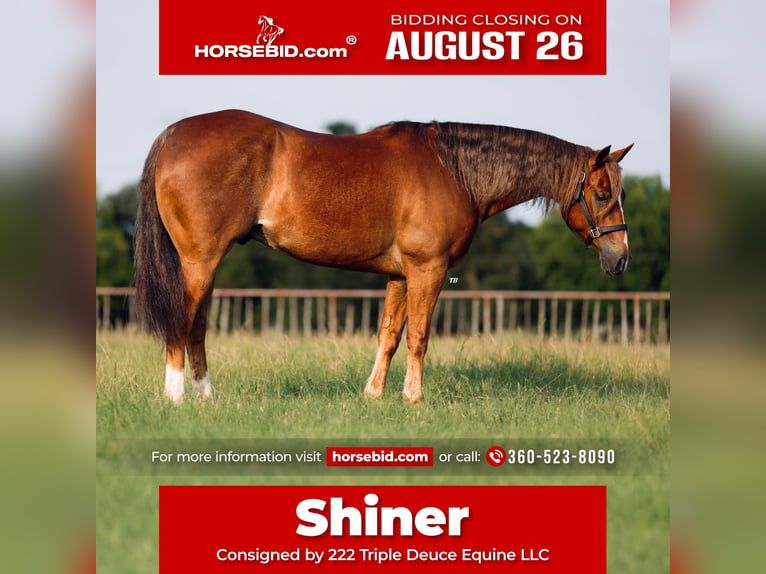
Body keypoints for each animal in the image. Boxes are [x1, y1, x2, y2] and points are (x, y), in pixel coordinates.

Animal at [134, 109, 636, 404]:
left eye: (622, 192)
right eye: (603, 192)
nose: (621, 259)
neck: (453, 170)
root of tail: (173, 133)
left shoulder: (399, 274)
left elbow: (389, 336)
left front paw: (373, 395)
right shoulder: (428, 269)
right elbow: (419, 337)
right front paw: (413, 400)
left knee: (197, 327)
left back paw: (205, 397)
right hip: (199, 261)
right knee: (183, 323)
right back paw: (176, 398)